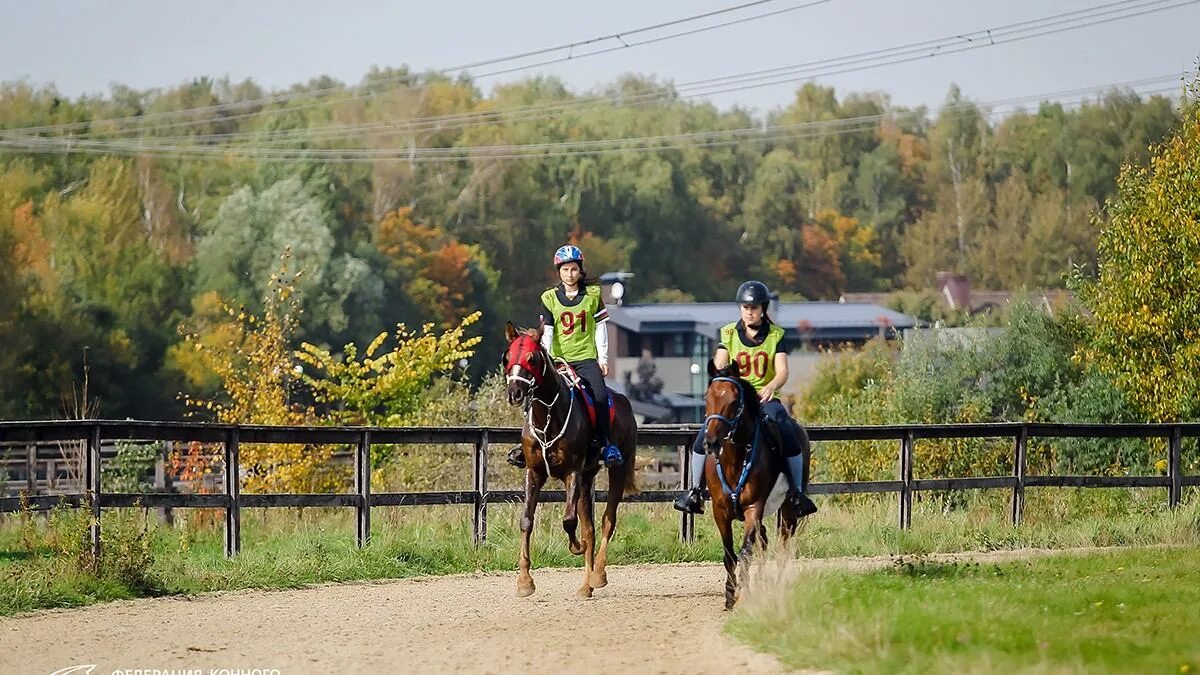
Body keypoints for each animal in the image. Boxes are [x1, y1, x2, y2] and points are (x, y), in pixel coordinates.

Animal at [504, 324, 643, 595]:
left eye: (531, 359)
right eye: (507, 358)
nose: (515, 392)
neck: (548, 416)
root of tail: (623, 401)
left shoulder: (572, 473)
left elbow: (569, 521)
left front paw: (576, 547)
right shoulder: (534, 472)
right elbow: (526, 521)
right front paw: (524, 582)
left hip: (616, 471)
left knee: (607, 521)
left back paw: (598, 575)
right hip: (587, 479)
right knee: (589, 528)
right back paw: (585, 587)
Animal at [700, 360, 801, 607]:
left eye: (734, 400)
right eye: (707, 398)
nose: (711, 442)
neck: (735, 460)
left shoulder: (753, 508)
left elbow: (746, 552)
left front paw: (743, 594)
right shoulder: (720, 511)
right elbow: (729, 554)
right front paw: (730, 595)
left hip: (788, 511)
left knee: (781, 547)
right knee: (763, 541)